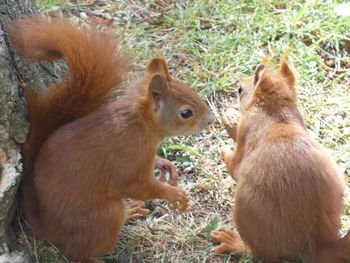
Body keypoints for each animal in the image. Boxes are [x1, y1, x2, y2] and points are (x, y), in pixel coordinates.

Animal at [6, 17, 212, 263]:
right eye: (186, 113)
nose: (211, 120)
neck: (140, 124)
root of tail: (48, 230)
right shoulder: (129, 161)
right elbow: (140, 187)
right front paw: (174, 194)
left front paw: (165, 165)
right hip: (103, 217)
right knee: (78, 254)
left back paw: (130, 211)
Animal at [211, 54, 350, 262]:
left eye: (240, 90)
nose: (237, 85)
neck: (275, 111)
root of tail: (312, 248)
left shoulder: (246, 130)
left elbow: (234, 166)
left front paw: (225, 147)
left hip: (245, 209)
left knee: (259, 253)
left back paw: (234, 243)